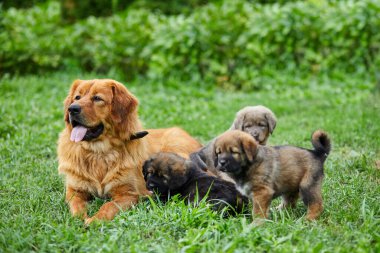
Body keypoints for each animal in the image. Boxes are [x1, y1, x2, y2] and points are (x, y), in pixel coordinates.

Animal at [56, 78, 202, 223]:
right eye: (77, 97)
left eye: (97, 98)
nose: (72, 109)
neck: (99, 152)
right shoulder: (74, 190)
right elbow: (76, 205)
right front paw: (78, 219)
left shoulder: (128, 194)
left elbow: (108, 206)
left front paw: (95, 220)